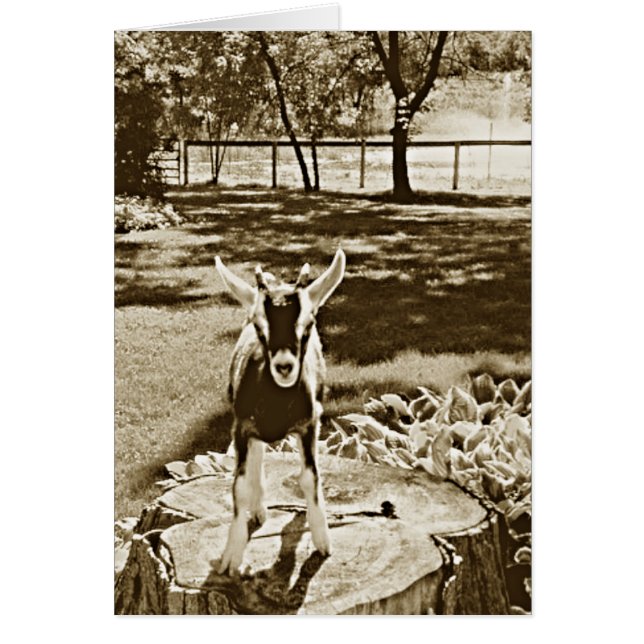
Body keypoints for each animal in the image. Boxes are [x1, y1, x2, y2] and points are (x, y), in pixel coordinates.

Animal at [214, 249, 346, 575]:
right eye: (258, 325)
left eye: (308, 324)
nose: (284, 366)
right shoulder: (240, 426)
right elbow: (239, 486)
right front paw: (232, 554)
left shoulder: (310, 423)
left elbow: (310, 478)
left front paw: (321, 536)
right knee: (257, 456)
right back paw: (259, 508)